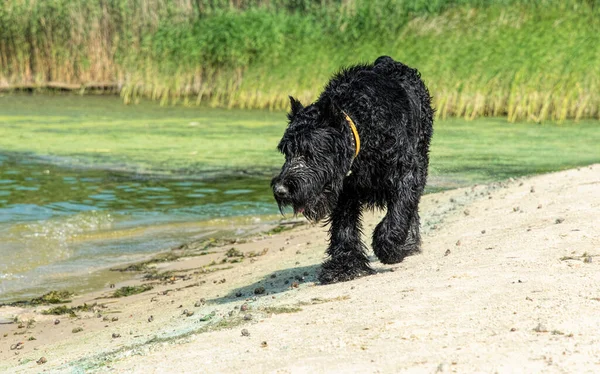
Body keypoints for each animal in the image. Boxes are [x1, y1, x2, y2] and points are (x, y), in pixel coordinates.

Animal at [270, 55, 432, 284]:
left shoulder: (406, 172)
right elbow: (343, 228)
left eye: (308, 152)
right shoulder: (344, 190)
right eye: (286, 152)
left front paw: (389, 246)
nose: (280, 191)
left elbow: (400, 210)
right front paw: (344, 266)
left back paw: (408, 243)